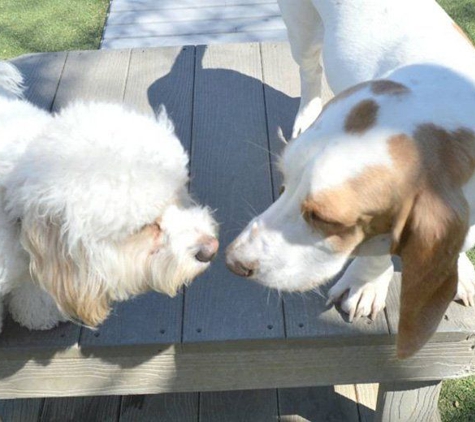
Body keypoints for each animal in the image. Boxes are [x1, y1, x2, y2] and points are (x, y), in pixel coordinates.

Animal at [226, 0, 475, 356]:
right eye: (283, 185)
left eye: (323, 219)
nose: (232, 261)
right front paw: (365, 283)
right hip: (302, 33)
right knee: (309, 71)